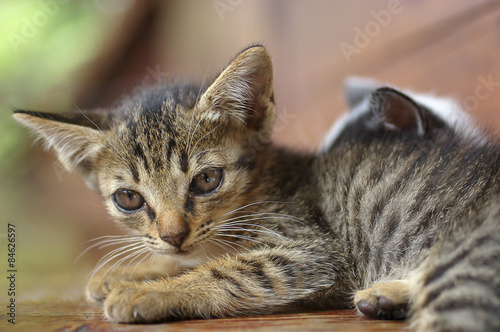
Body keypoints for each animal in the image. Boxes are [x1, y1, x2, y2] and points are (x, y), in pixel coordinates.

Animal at [13, 45, 498, 330]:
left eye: (207, 180)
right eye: (129, 199)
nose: (173, 234)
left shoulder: (313, 250)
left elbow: (231, 270)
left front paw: (146, 290)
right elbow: (193, 257)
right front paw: (131, 270)